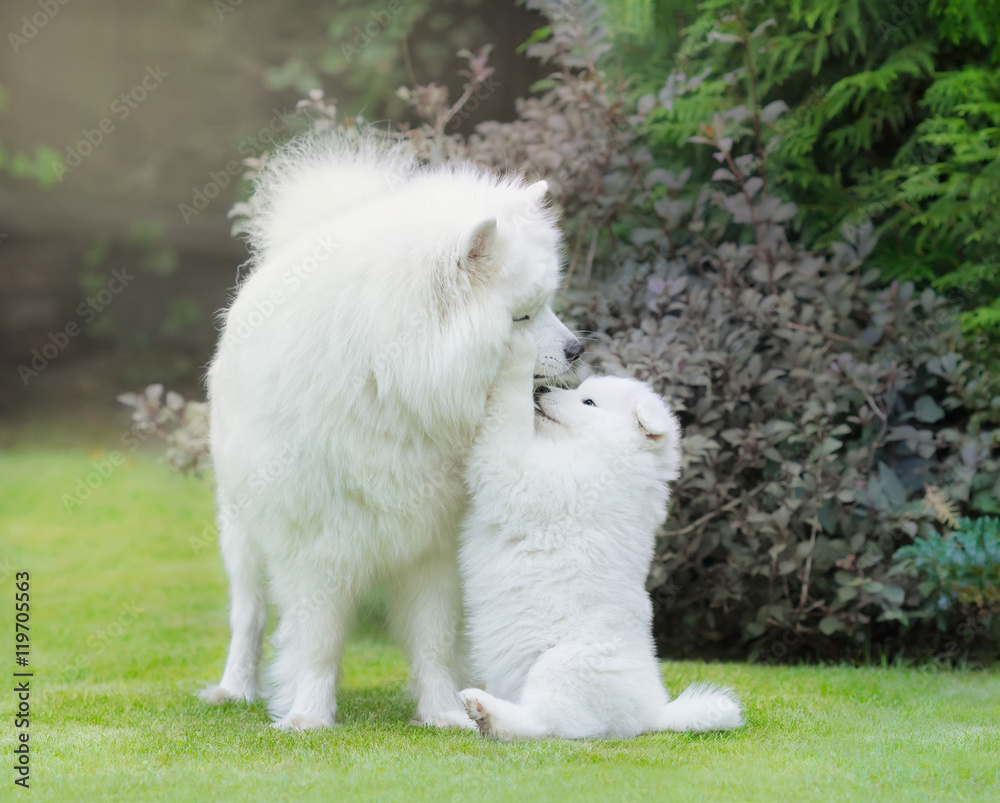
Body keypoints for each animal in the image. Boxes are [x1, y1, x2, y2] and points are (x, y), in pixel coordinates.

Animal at [200, 130, 584, 728]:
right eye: (520, 316)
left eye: (546, 304)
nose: (577, 349)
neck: (388, 380)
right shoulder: (315, 545)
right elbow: (317, 642)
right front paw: (309, 715)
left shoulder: (433, 545)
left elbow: (433, 640)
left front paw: (445, 713)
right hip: (241, 530)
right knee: (249, 615)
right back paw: (234, 688)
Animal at [456, 332, 744, 740]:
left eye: (588, 402)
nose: (541, 390)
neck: (608, 454)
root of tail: (651, 714)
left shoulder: (526, 474)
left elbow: (507, 423)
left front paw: (520, 354)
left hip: (561, 665)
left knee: (545, 726)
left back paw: (486, 713)